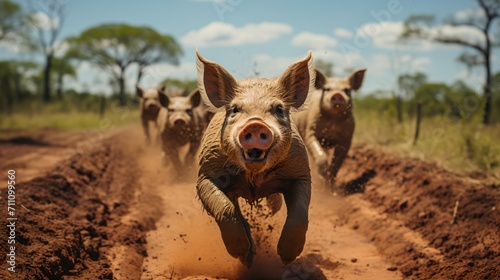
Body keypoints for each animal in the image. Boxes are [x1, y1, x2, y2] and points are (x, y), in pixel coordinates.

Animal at [194, 49, 314, 266]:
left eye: (279, 109)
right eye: (234, 109)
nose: (256, 124)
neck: (254, 178)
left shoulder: (300, 171)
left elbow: (300, 212)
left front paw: (286, 258)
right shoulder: (205, 173)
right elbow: (225, 209)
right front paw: (240, 252)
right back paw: (248, 259)